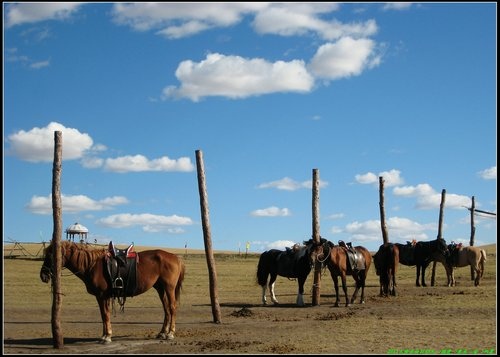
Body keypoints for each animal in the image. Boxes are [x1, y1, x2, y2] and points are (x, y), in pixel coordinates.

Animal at [38, 239, 184, 342]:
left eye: (51, 255)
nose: (43, 275)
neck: (91, 265)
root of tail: (175, 257)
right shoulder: (102, 297)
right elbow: (104, 315)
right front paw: (104, 335)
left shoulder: (102, 296)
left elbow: (105, 314)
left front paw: (107, 336)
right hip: (160, 288)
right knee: (166, 309)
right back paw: (162, 332)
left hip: (169, 287)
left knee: (172, 308)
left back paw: (170, 333)